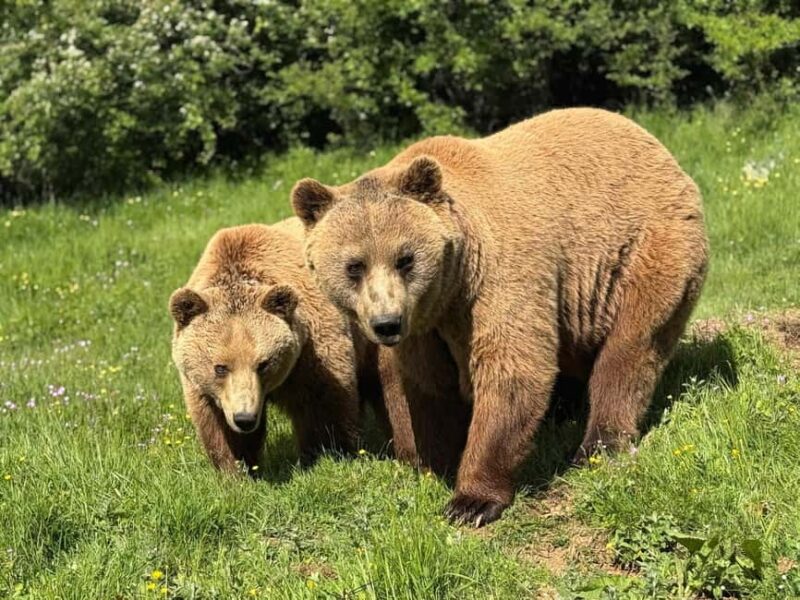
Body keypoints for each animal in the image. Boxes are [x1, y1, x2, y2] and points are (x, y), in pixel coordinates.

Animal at [170, 218, 469, 475]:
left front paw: (324, 456)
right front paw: (237, 469)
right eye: (220, 367)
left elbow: (323, 404)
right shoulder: (205, 388)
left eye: (264, 364)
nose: (245, 418)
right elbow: (216, 423)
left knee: (398, 391)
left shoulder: (313, 349)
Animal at [290, 107, 709, 526]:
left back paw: (599, 443)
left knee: (629, 350)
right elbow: (424, 387)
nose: (386, 323)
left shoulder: (498, 278)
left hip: (641, 251)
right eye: (354, 266)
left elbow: (510, 370)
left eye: (405, 258)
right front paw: (432, 464)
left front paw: (471, 500)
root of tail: (656, 145)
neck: (451, 288)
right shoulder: (425, 327)